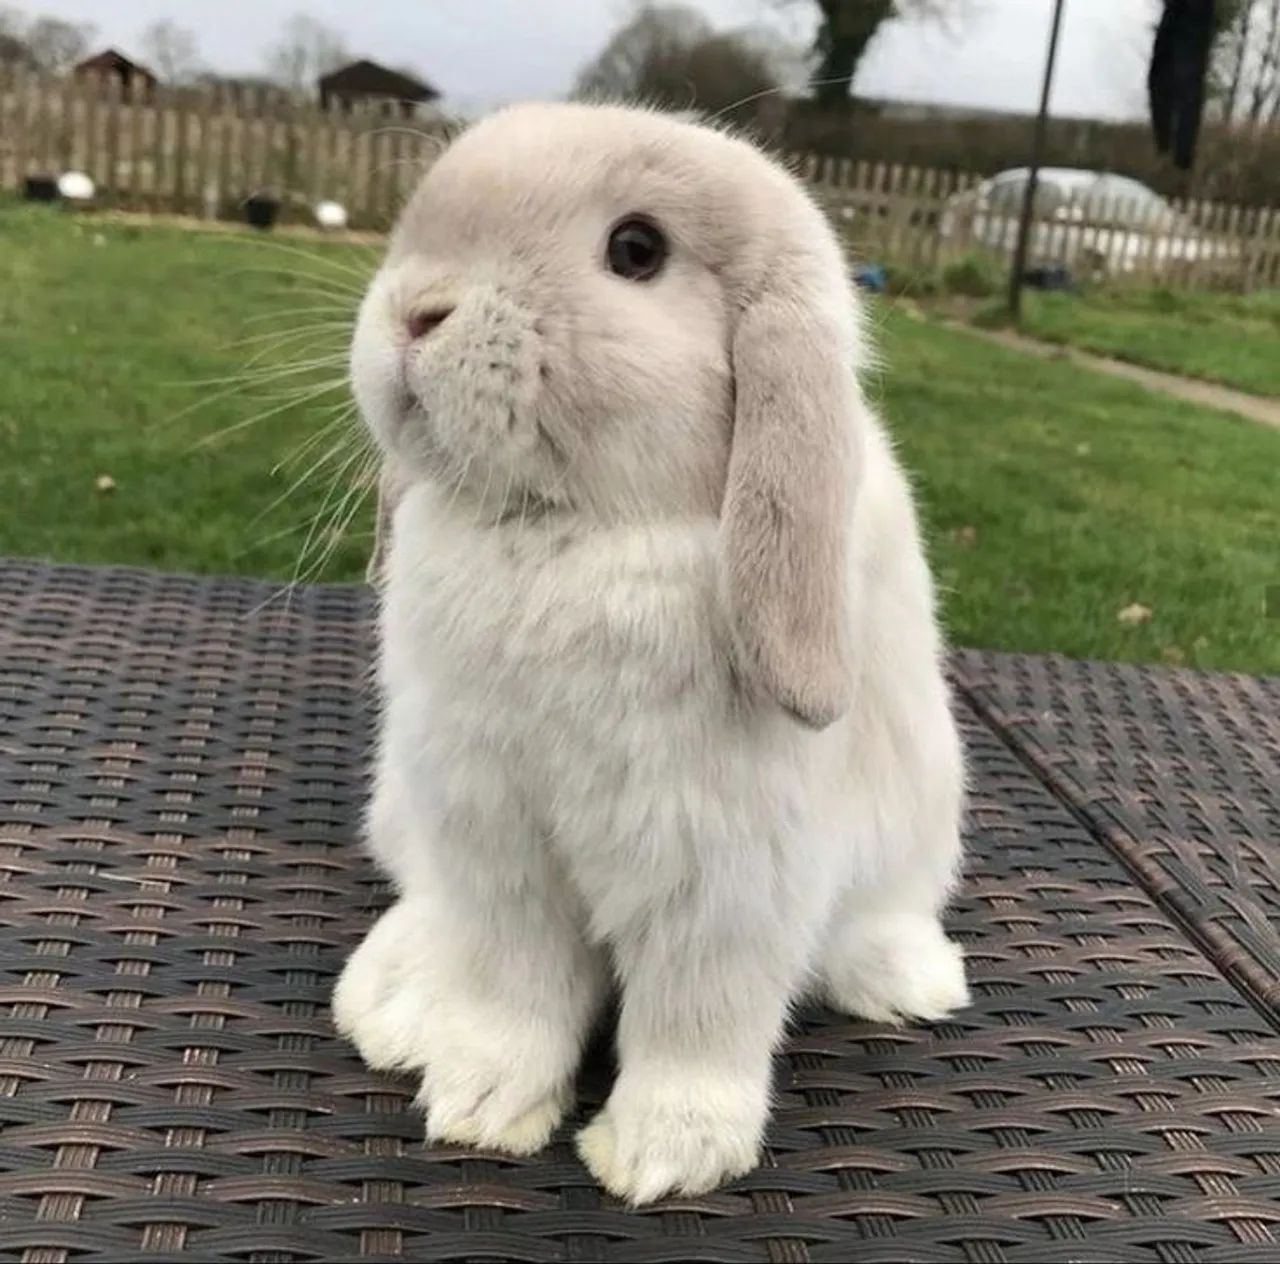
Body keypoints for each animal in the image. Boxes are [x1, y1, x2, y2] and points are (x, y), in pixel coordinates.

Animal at [332, 101, 968, 1205]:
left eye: (636, 250)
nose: (413, 314)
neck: (571, 531)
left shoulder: (723, 872)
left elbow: (695, 1018)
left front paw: (661, 1157)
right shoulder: (497, 840)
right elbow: (515, 987)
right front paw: (481, 1104)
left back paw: (910, 980)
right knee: (427, 908)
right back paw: (397, 1004)